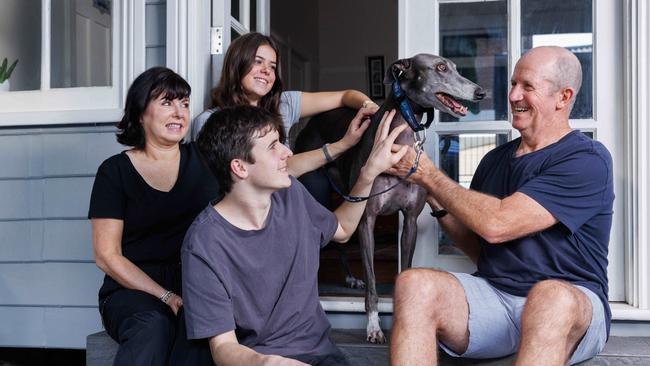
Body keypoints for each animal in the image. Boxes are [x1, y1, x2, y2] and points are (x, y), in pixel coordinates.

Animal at [294, 53, 480, 344]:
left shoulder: (411, 220)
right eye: (440, 67)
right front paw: (373, 327)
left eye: (455, 67)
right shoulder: (367, 220)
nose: (480, 92)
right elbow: (372, 284)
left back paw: (350, 278)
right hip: (317, 191)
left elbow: (405, 269)